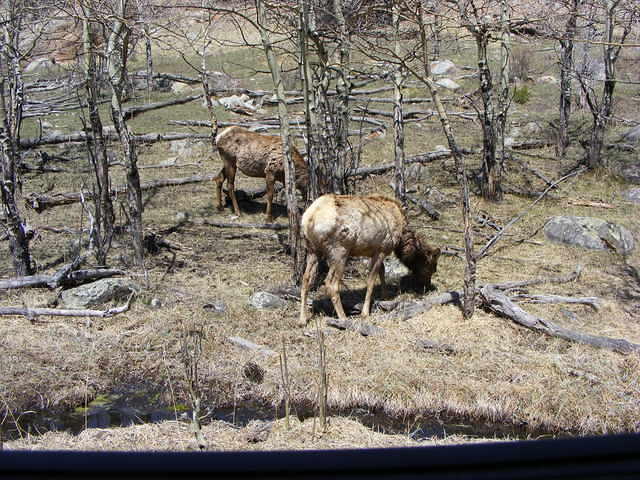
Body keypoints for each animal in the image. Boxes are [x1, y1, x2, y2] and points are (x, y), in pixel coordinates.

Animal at [298, 194, 440, 326]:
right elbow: (371, 281)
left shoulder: (376, 251)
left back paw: (302, 319)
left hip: (312, 249)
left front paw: (385, 297)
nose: (427, 287)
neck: (401, 240)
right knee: (331, 283)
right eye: (432, 267)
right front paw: (365, 313)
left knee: (306, 279)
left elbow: (382, 272)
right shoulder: (382, 249)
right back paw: (343, 318)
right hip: (340, 250)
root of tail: (309, 218)